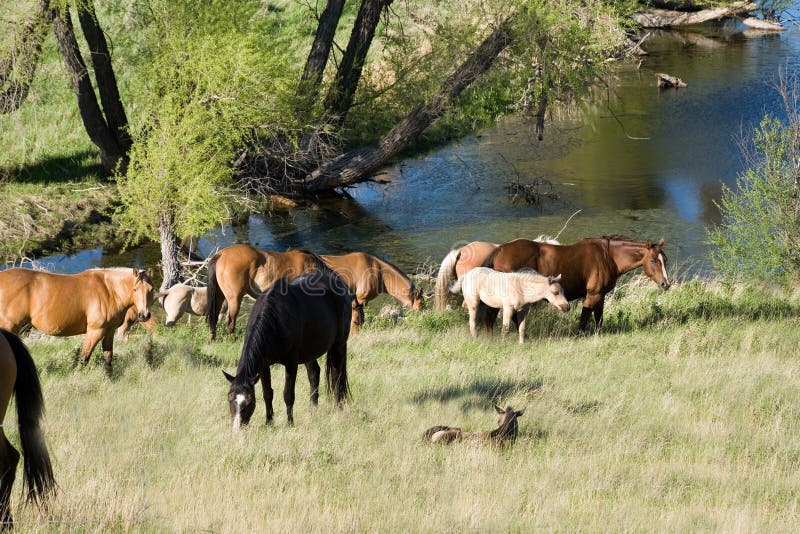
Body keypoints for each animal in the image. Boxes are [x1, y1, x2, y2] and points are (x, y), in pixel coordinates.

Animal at [0, 268, 155, 368]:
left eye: (151, 289)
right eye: (135, 289)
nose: (144, 315)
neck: (109, 290)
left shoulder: (110, 331)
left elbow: (108, 356)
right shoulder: (95, 331)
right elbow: (84, 358)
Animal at [223, 268, 352, 432]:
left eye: (249, 401)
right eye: (229, 398)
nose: (237, 428)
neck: (275, 320)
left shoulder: (291, 363)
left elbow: (288, 394)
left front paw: (290, 423)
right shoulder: (264, 365)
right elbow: (267, 393)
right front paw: (269, 422)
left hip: (338, 346)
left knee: (336, 377)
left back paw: (337, 408)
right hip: (309, 352)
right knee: (314, 374)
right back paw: (313, 410)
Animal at [484, 237, 672, 332]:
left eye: (665, 259)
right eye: (653, 260)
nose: (666, 284)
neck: (607, 256)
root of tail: (499, 250)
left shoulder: (600, 295)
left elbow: (598, 318)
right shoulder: (593, 294)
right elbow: (585, 319)